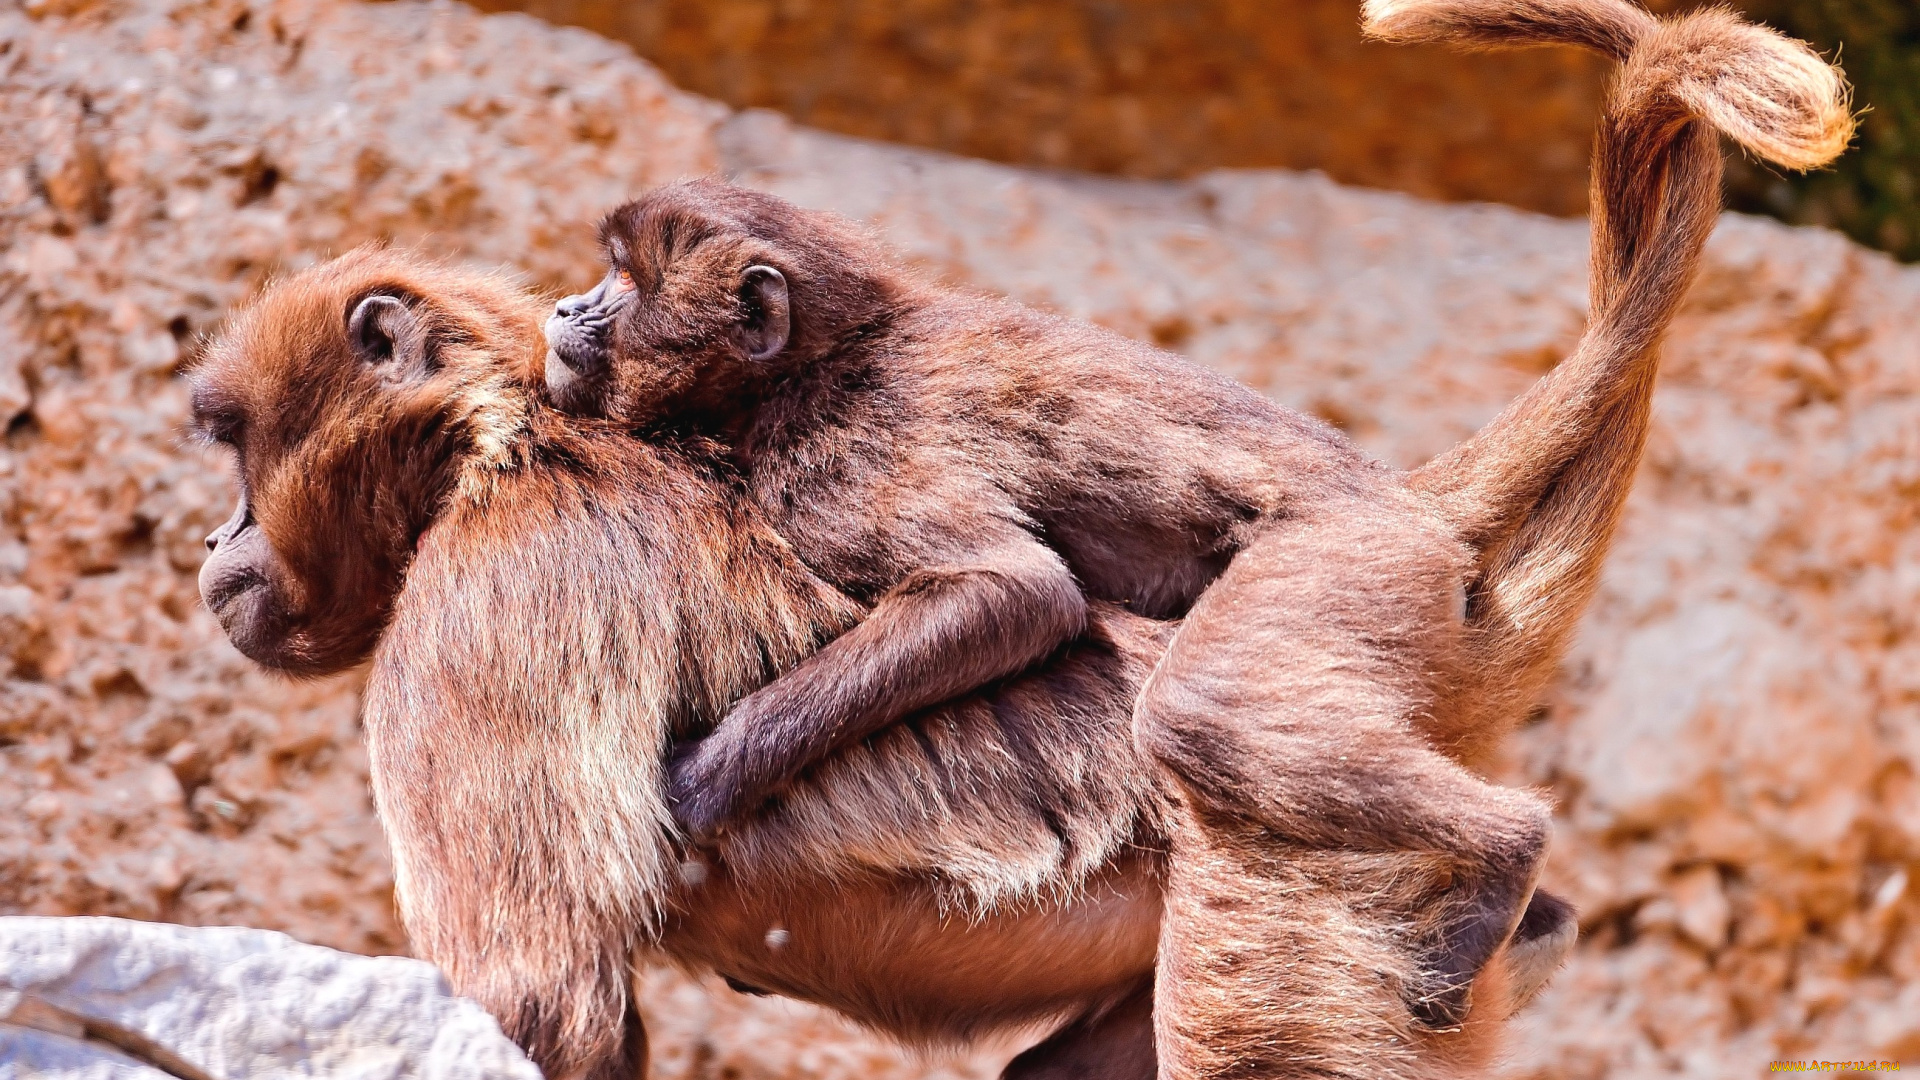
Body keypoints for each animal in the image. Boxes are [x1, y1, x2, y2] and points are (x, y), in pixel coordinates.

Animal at [187, 244, 1559, 1076]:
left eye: (236, 446)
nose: (215, 537)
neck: (504, 439)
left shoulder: (491, 586)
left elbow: (533, 1000)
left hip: (1314, 878)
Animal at [533, 0, 1850, 1037]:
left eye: (622, 282)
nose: (564, 309)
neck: (828, 357)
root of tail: (1396, 500)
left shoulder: (837, 464)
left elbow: (1014, 598)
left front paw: (696, 790)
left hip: (1345, 567)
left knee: (1206, 713)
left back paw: (1508, 848)